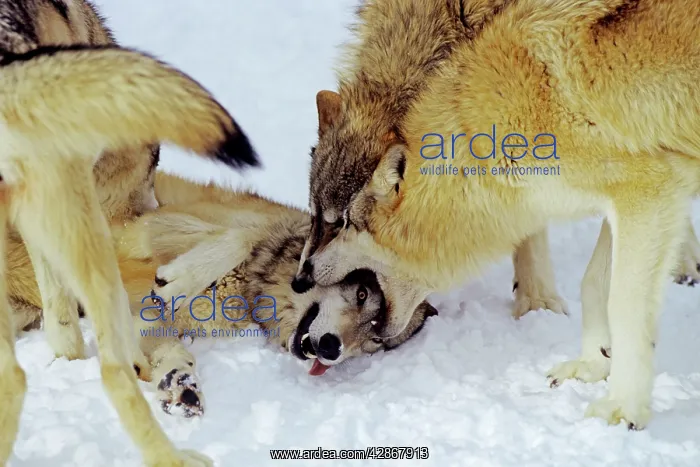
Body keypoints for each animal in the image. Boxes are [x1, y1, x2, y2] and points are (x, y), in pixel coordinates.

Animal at [0, 1, 259, 465]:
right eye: (149, 169)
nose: (153, 206)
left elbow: (62, 326)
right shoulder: (113, 226)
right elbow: (237, 236)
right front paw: (175, 284)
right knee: (111, 369)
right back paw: (174, 453)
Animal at [107, 172, 437, 417]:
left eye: (376, 340)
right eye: (362, 294)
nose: (332, 349)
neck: (255, 283)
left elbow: (170, 353)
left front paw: (180, 386)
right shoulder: (141, 227)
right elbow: (242, 237)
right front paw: (177, 281)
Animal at [294, 0, 700, 430]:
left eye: (343, 223)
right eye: (317, 215)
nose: (300, 278)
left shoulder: (649, 189)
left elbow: (624, 304)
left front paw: (623, 407)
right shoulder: (634, 195)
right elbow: (593, 283)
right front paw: (592, 364)